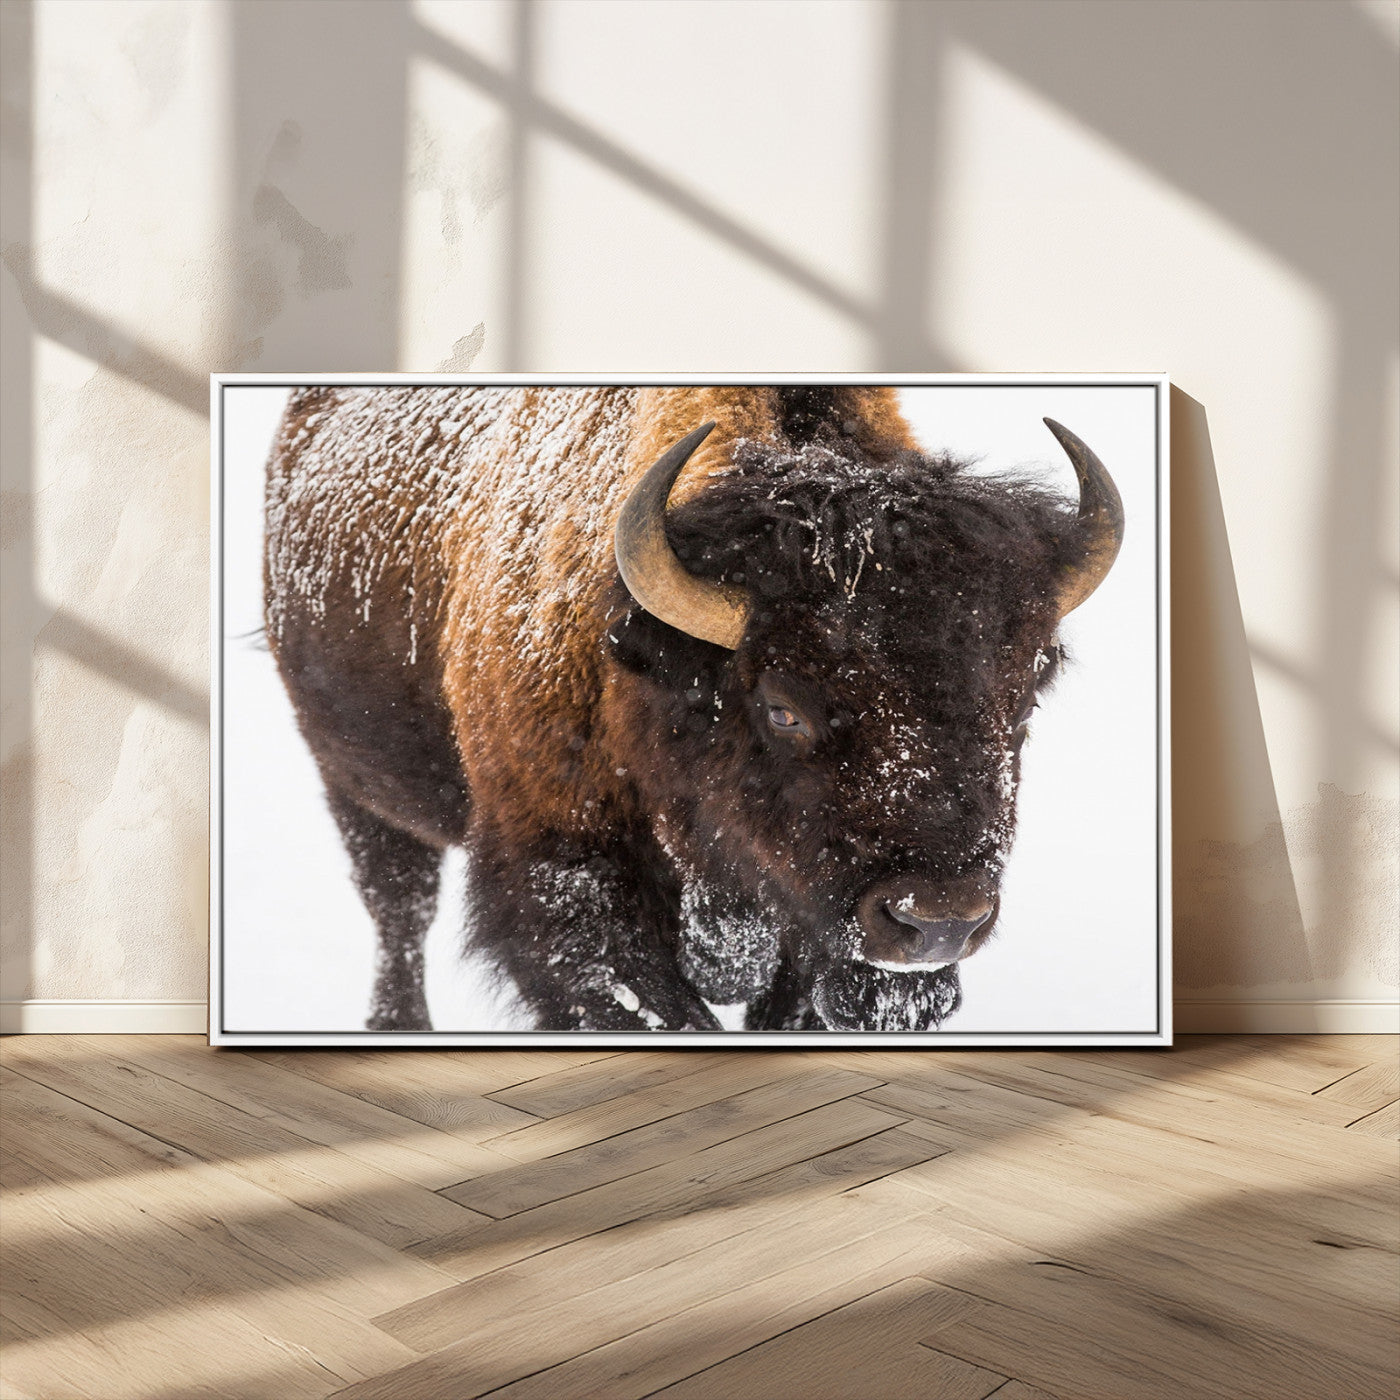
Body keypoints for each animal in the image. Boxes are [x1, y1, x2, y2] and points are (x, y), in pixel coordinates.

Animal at [263, 385, 1122, 1032]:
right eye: (782, 708)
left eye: (1023, 698)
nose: (938, 920)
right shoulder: (565, 884)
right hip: (356, 782)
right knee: (399, 908)